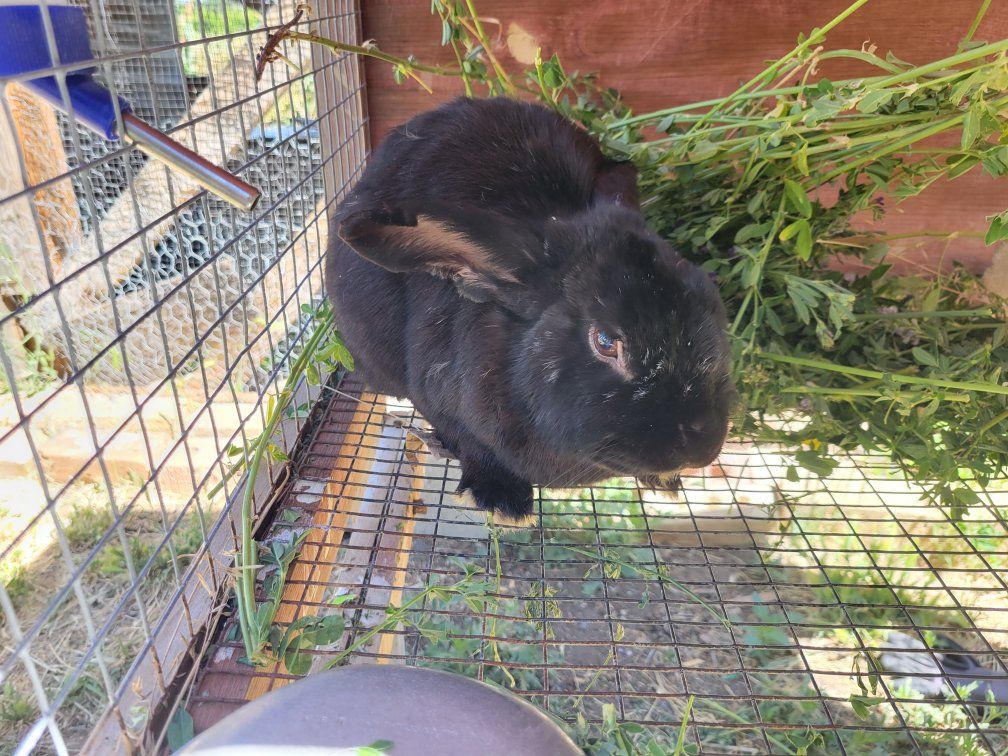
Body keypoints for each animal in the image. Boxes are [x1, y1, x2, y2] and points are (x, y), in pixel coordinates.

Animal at [325, 96, 735, 521]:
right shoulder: (436, 400)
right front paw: (501, 501)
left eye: (712, 300)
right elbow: (470, 444)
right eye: (605, 341)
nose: (702, 447)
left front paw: (665, 483)